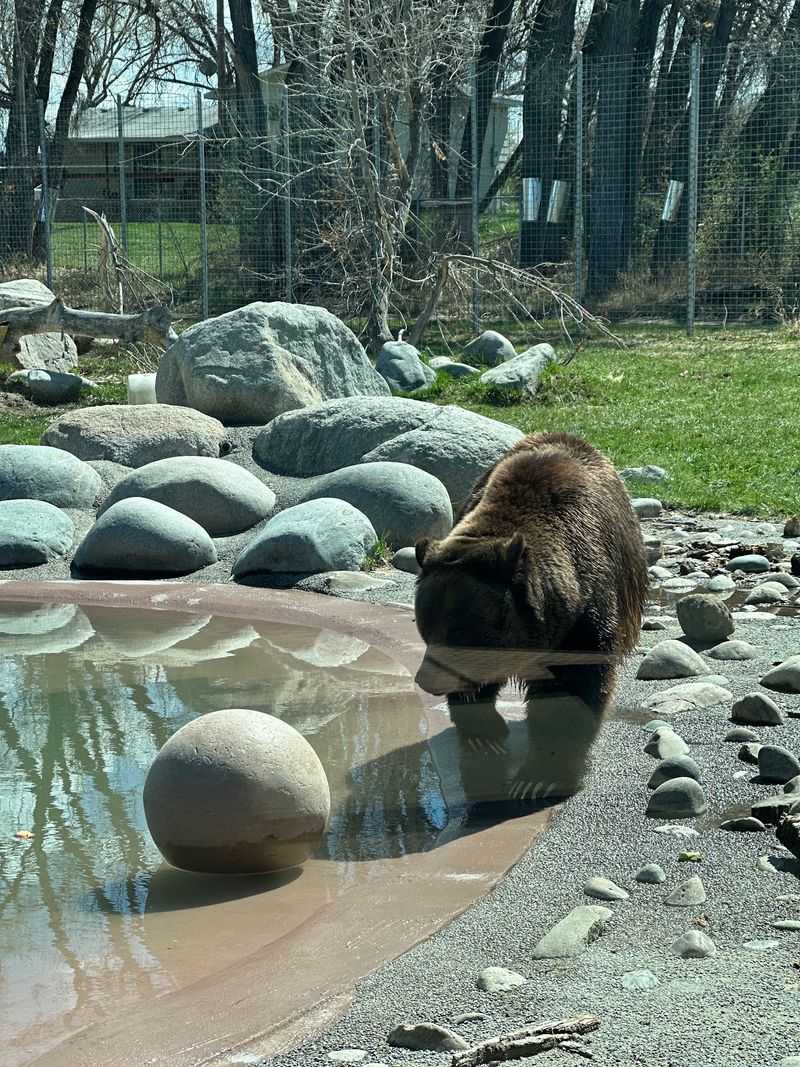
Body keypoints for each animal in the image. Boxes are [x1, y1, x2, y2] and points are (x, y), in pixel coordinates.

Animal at [413, 431, 648, 802]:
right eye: (427, 626)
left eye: (463, 631)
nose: (429, 680)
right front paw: (484, 737)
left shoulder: (582, 623)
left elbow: (573, 688)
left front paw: (540, 775)